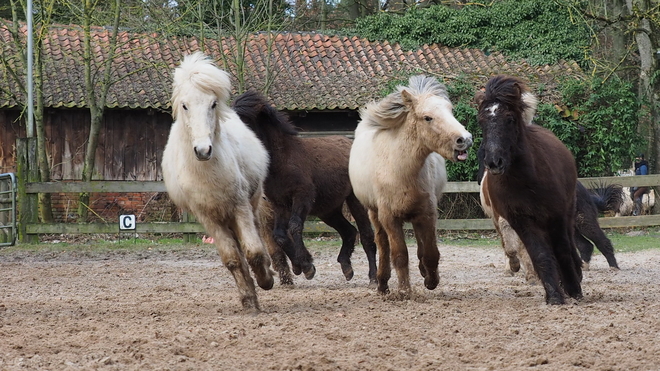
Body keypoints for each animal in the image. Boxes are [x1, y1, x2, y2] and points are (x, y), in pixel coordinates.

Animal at [162, 52, 274, 312]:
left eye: (213, 104)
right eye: (185, 105)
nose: (203, 150)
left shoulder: (240, 207)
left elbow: (254, 251)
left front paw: (266, 281)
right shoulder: (209, 218)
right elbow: (232, 260)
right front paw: (248, 299)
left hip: (250, 205)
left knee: (256, 240)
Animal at [232, 90, 376, 284]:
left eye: (245, 119)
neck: (283, 159)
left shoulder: (302, 197)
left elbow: (294, 226)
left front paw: (307, 266)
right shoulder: (280, 204)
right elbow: (280, 235)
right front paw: (300, 265)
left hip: (354, 201)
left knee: (366, 235)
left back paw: (374, 277)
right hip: (328, 210)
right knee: (349, 231)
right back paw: (346, 267)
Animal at [348, 75, 472, 296]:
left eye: (450, 110)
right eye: (427, 118)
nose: (464, 140)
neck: (398, 169)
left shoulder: (428, 213)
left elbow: (431, 252)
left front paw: (431, 280)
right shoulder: (389, 218)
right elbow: (399, 255)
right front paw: (405, 290)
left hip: (416, 214)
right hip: (374, 213)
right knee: (382, 243)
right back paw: (382, 283)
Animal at [476, 75, 580, 306]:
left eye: (510, 119)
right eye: (482, 122)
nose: (494, 162)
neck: (526, 181)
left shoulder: (556, 216)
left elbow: (562, 250)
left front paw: (573, 289)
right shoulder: (520, 220)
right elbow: (539, 254)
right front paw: (554, 295)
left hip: (567, 212)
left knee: (568, 244)